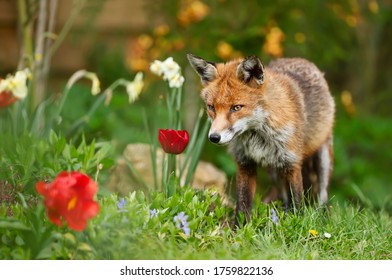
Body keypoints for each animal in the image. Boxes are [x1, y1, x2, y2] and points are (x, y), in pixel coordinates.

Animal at [188, 53, 336, 222]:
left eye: (236, 107)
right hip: (275, 172)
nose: (214, 137)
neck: (257, 137)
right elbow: (243, 204)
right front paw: (239, 228)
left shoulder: (292, 163)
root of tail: (301, 59)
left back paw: (323, 217)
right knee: (283, 196)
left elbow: (297, 201)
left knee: (322, 195)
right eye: (211, 107)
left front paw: (297, 223)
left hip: (322, 159)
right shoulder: (245, 164)